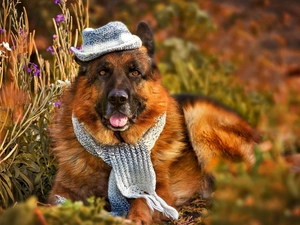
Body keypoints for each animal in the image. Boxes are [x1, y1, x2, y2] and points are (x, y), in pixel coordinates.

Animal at [49, 22, 260, 224]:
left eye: (135, 73)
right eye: (103, 72)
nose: (118, 99)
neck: (117, 146)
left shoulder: (160, 189)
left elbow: (144, 200)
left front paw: (135, 218)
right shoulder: (62, 189)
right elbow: (57, 203)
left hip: (199, 116)